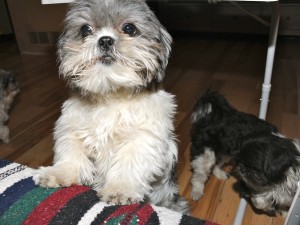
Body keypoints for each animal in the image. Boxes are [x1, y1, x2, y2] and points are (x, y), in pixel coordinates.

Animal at [32, 0, 188, 213]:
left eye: (129, 28)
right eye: (85, 30)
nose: (105, 40)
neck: (110, 94)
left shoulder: (143, 138)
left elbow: (129, 164)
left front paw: (120, 189)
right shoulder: (71, 129)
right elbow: (71, 153)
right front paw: (59, 172)